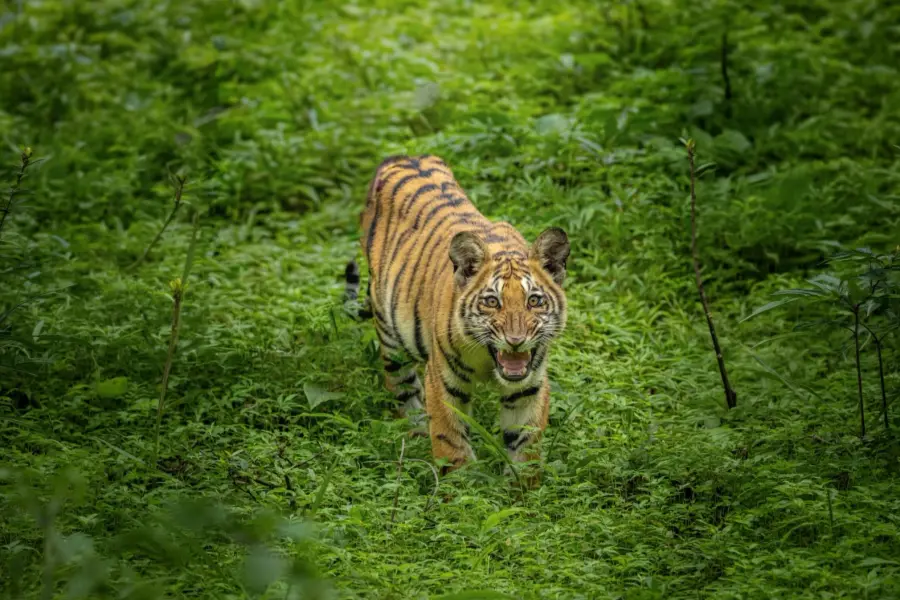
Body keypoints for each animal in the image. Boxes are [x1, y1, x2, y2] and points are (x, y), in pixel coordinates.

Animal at [345, 155, 570, 476]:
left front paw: (522, 487)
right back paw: (414, 438)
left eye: (534, 301)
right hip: (390, 337)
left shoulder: (529, 387)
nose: (516, 341)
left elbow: (525, 447)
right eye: (492, 302)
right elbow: (450, 441)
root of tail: (402, 156)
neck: (489, 362)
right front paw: (461, 486)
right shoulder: (442, 380)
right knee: (402, 389)